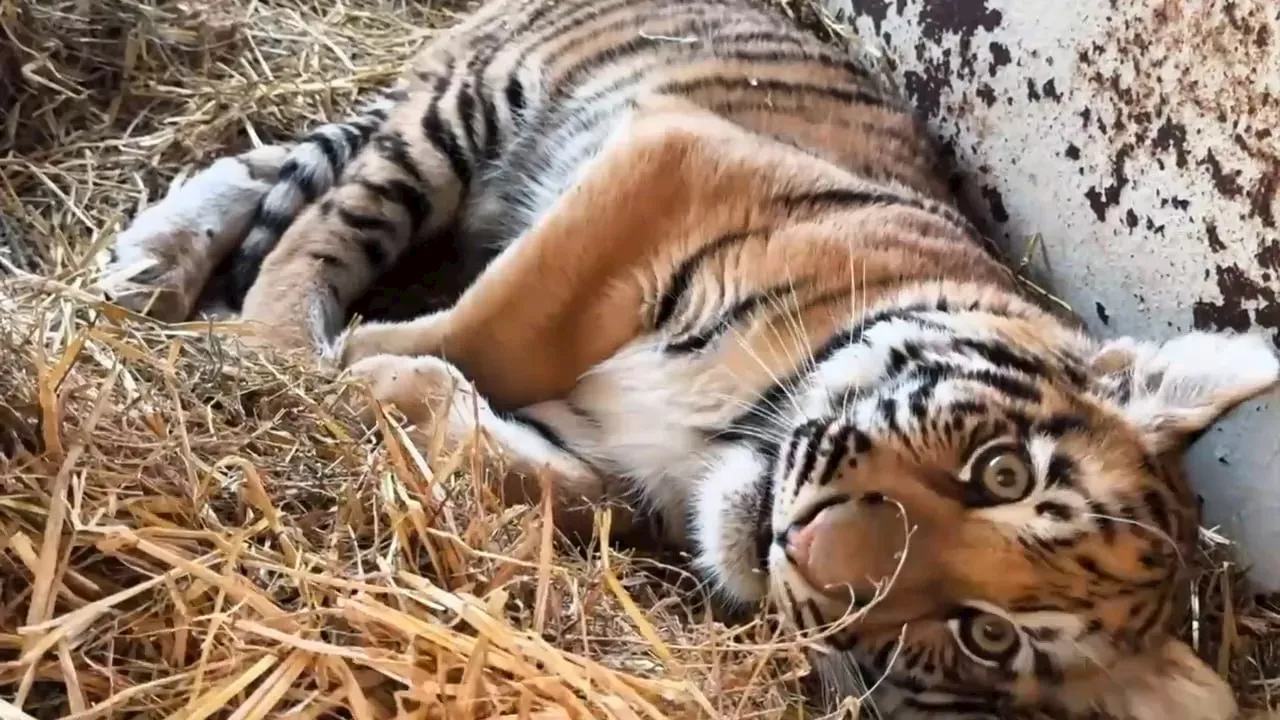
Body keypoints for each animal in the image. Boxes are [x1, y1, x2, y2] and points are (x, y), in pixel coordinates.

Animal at [99, 0, 1280, 712]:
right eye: (1001, 471)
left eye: (988, 639)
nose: (809, 551)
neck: (731, 436)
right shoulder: (676, 154)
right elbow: (507, 322)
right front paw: (325, 365)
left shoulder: (621, 467)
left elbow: (552, 483)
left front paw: (393, 385)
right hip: (477, 111)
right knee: (322, 207)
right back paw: (227, 319)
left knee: (292, 168)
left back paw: (149, 266)